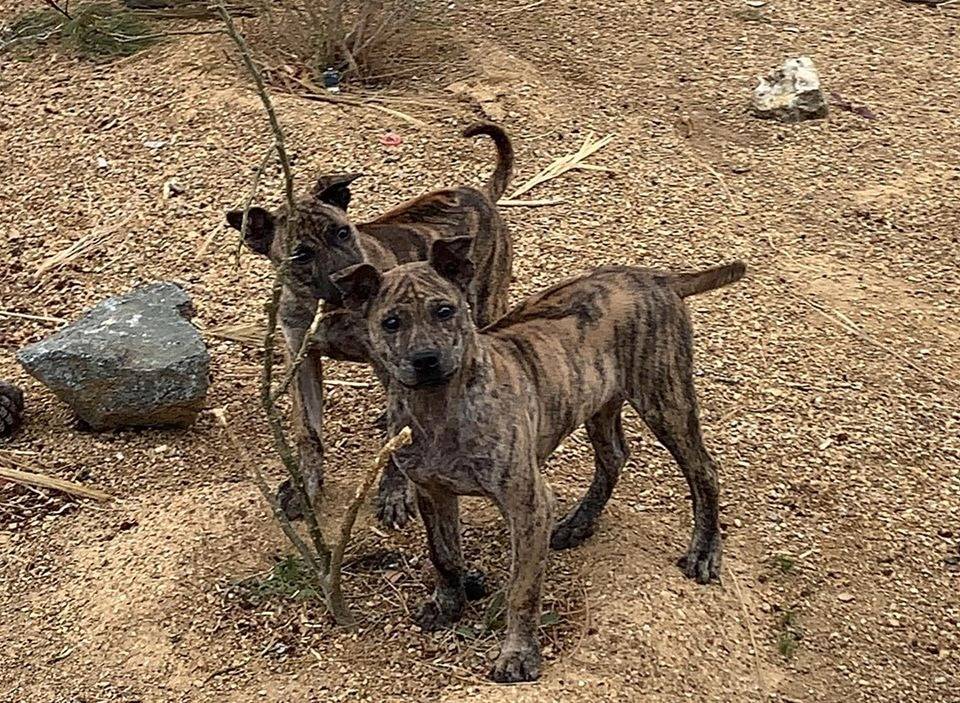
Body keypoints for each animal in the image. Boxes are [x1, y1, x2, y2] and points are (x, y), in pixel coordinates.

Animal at [226, 123, 514, 527]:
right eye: (301, 254)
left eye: (343, 233)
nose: (350, 278)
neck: (329, 310)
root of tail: (479, 194)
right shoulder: (302, 361)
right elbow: (308, 433)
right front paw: (305, 488)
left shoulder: (389, 362)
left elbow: (397, 442)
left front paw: (394, 493)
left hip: (488, 303)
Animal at [332, 237, 745, 682]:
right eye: (391, 322)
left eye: (444, 311)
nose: (425, 359)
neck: (439, 407)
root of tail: (656, 277)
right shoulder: (432, 492)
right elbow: (443, 554)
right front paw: (449, 603)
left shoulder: (527, 505)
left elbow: (522, 590)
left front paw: (518, 654)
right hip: (597, 399)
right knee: (614, 456)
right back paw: (579, 523)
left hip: (664, 400)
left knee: (703, 470)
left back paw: (704, 551)